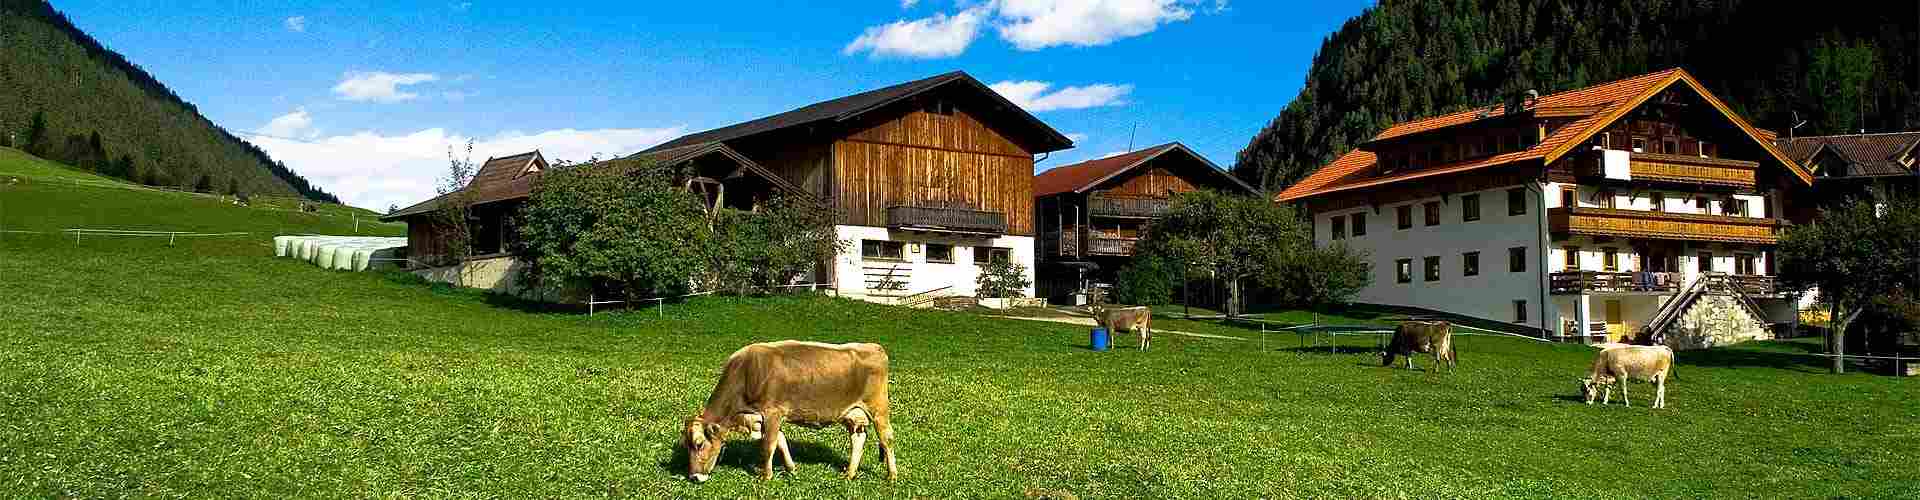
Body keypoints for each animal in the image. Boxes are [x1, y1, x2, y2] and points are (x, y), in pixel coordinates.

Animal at [683, 342, 898, 482]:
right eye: (686, 445)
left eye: (699, 444)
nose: (693, 477)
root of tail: (874, 347)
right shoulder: (764, 418)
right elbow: (781, 440)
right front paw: (791, 468)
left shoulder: (772, 412)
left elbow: (768, 445)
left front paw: (766, 476)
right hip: (853, 413)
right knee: (858, 439)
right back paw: (849, 474)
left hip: (878, 408)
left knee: (886, 438)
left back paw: (892, 476)